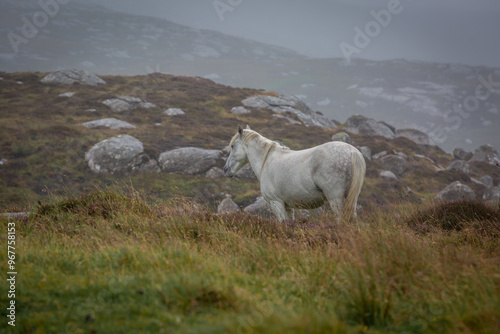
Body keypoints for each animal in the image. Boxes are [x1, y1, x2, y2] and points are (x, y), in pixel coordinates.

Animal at [225, 125, 366, 222]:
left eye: (233, 146)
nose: (226, 170)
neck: (267, 160)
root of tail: (352, 152)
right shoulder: (288, 206)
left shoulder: (276, 203)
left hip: (335, 198)